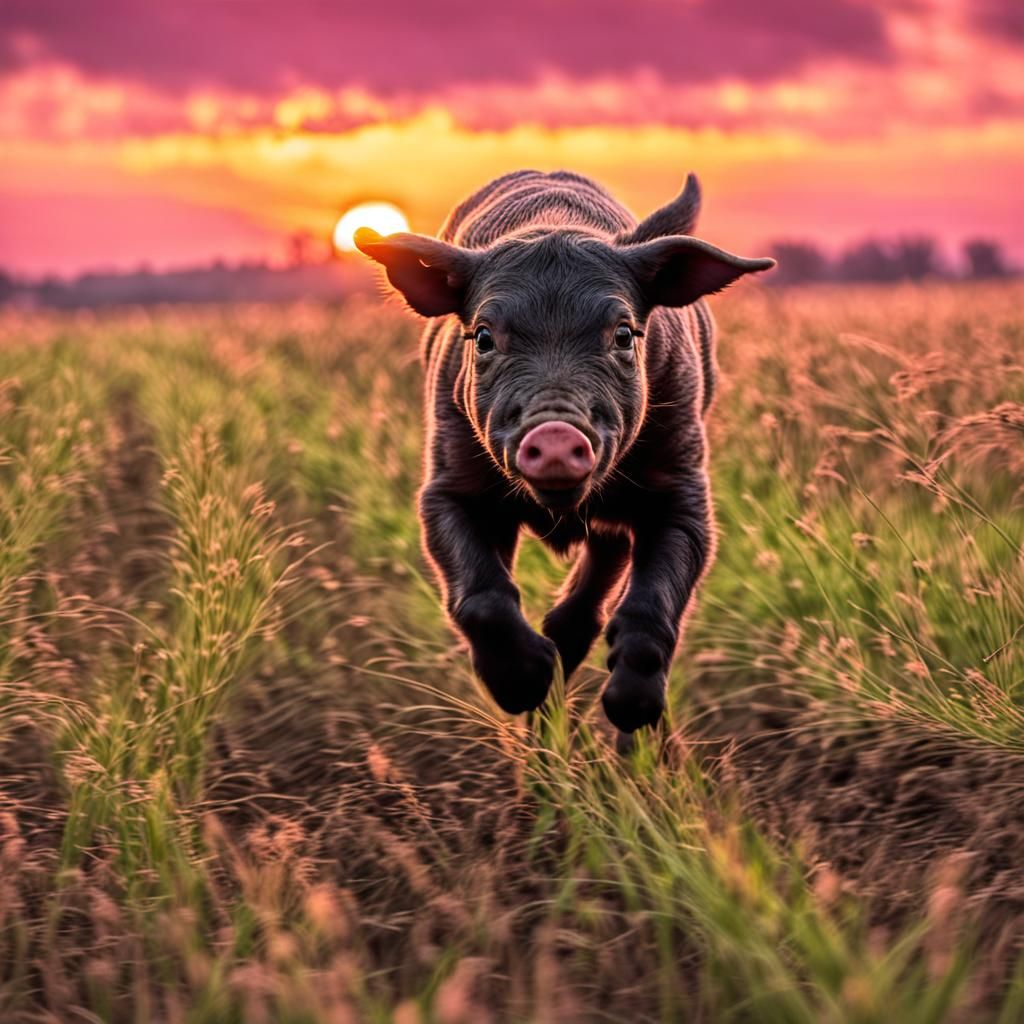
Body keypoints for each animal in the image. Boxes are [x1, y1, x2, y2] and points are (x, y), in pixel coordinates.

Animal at [356, 170, 774, 734]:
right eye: (483, 337)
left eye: (623, 334)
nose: (555, 435)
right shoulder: (446, 484)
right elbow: (481, 593)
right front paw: (524, 686)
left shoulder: (685, 486)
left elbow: (656, 597)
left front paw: (631, 711)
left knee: (595, 586)